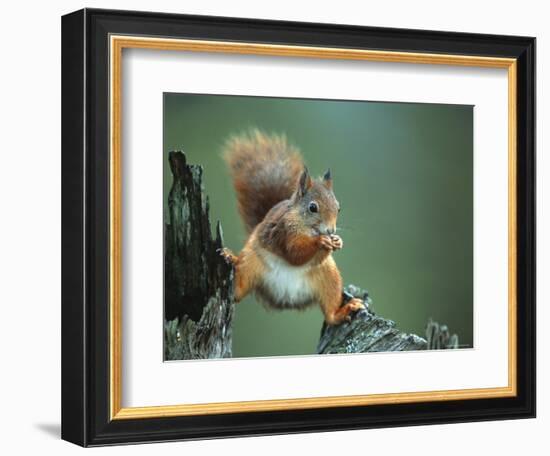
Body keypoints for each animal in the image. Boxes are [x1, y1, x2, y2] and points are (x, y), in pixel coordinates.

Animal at [220, 130, 366, 326]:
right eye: (313, 207)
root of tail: (285, 299)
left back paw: (345, 310)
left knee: (330, 314)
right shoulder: (283, 232)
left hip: (329, 277)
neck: (306, 226)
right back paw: (229, 257)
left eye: (338, 207)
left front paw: (337, 241)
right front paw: (321, 241)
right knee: (237, 291)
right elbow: (294, 253)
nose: (331, 231)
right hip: (250, 263)